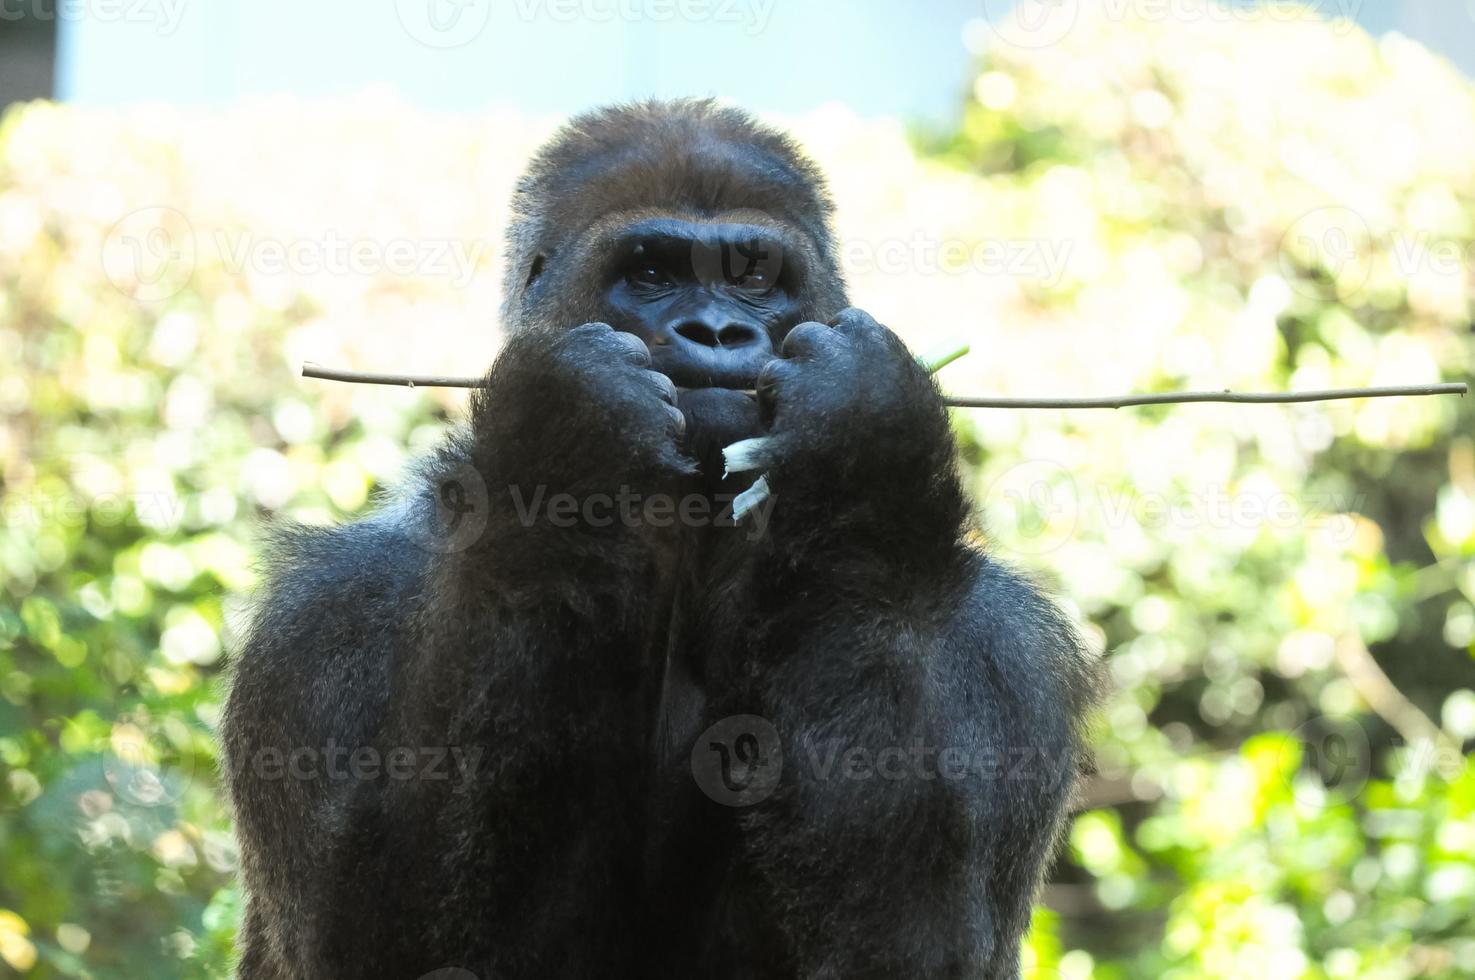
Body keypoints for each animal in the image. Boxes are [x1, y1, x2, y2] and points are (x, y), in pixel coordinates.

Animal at [218, 99, 1097, 980]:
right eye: (649, 274)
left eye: (752, 275)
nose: (715, 329)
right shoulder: (330, 608)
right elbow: (376, 932)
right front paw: (563, 437)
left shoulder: (1003, 643)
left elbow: (921, 944)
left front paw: (860, 442)